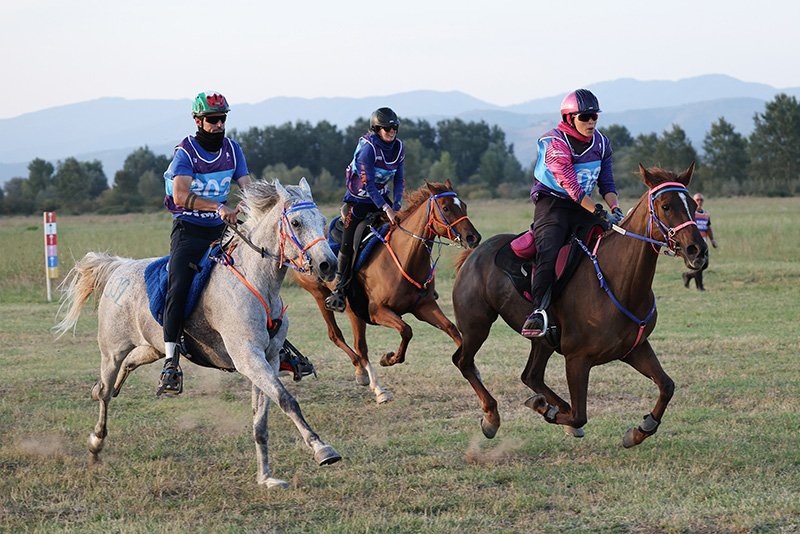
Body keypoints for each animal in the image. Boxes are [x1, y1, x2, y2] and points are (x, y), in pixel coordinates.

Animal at [53, 180, 340, 490]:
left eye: (322, 221)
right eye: (296, 223)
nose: (328, 265)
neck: (257, 280)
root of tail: (119, 266)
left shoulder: (270, 359)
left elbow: (261, 421)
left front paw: (265, 477)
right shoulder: (248, 358)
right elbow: (287, 400)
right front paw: (322, 449)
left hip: (152, 347)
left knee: (126, 369)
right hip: (112, 351)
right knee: (105, 392)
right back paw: (96, 443)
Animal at [294, 182, 482, 404]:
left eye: (464, 205)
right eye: (445, 208)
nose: (473, 237)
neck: (404, 257)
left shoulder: (424, 307)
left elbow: (452, 329)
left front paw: (474, 370)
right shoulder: (377, 312)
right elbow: (406, 330)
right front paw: (388, 358)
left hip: (352, 311)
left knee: (356, 344)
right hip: (321, 295)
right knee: (345, 340)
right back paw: (374, 385)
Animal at [450, 164, 708, 448]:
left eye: (693, 206)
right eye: (665, 206)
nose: (698, 250)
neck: (618, 282)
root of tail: (473, 254)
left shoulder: (634, 348)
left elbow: (667, 385)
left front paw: (639, 430)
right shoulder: (577, 360)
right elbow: (579, 415)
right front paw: (546, 410)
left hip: (542, 341)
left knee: (531, 375)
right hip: (476, 326)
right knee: (464, 362)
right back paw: (492, 417)